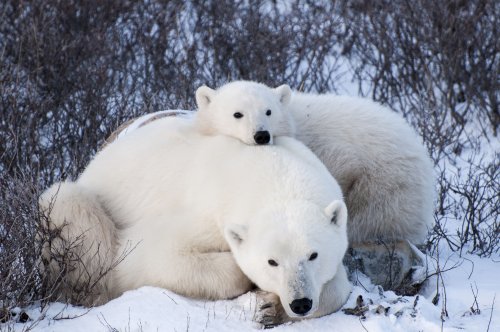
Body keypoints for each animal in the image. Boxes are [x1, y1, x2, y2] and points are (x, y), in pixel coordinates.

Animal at [40, 116, 352, 322]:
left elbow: (338, 286)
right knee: (71, 208)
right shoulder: (207, 211)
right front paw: (252, 285)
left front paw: (270, 308)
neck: (273, 174)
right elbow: (153, 255)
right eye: (271, 261)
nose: (300, 303)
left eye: (313, 255)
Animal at [193, 81, 436, 245]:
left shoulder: (331, 153)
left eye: (268, 111)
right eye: (238, 114)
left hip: (386, 185)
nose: (261, 135)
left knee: (371, 218)